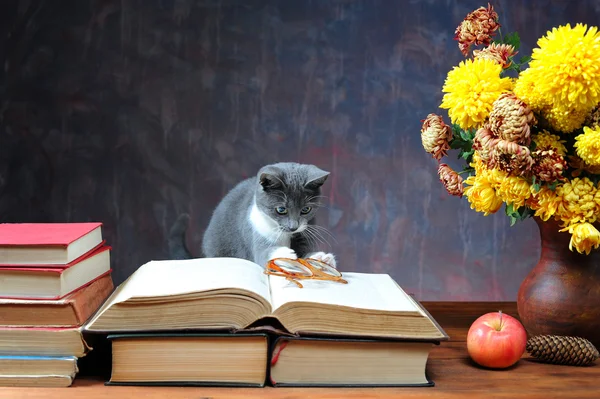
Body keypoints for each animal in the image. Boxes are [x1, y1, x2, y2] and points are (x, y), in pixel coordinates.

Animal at [170, 162, 338, 268]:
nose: (293, 227)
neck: (284, 234)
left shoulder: (304, 234)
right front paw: (285, 254)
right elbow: (263, 253)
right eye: (281, 209)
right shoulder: (255, 230)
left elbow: (303, 253)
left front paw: (321, 258)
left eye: (306, 210)